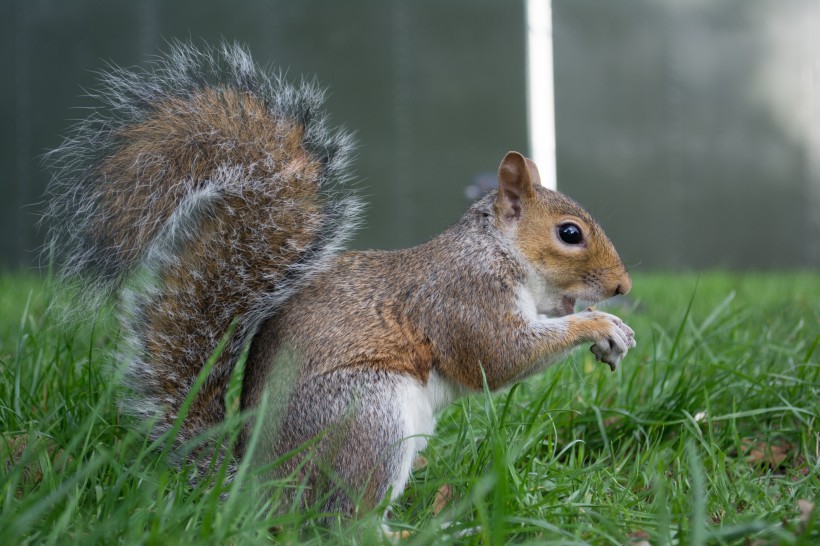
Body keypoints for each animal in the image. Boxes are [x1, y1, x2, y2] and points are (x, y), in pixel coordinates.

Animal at [44, 42, 636, 516]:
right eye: (569, 233)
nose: (623, 287)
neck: (498, 252)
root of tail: (259, 486)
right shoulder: (464, 297)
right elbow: (500, 356)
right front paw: (600, 325)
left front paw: (601, 326)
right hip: (368, 416)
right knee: (343, 517)